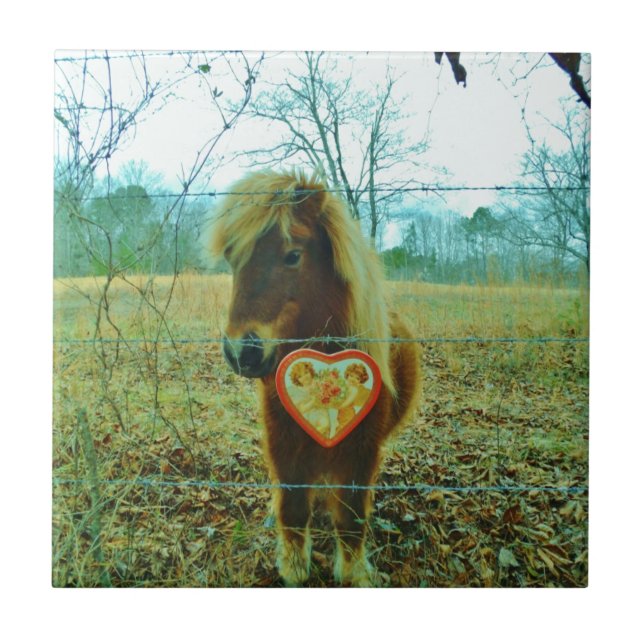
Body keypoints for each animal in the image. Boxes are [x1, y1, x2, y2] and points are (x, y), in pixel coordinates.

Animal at [209, 169, 421, 586]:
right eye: (231, 258)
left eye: (293, 255)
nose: (242, 351)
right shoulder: (283, 443)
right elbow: (292, 507)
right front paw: (293, 568)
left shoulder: (361, 451)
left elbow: (351, 518)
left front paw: (354, 572)